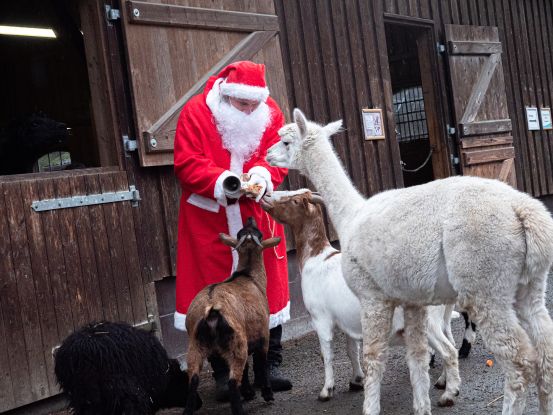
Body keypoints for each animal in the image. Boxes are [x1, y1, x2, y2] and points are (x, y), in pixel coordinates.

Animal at [184, 218, 280, 415]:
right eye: (260, 234)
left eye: (244, 231)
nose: (250, 218)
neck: (249, 276)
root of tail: (211, 310)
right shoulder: (263, 336)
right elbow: (261, 364)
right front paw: (266, 394)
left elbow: (246, 369)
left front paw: (249, 392)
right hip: (236, 342)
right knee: (232, 381)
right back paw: (239, 410)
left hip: (197, 345)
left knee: (193, 381)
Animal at [260, 190, 460, 404]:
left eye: (295, 200)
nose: (266, 196)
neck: (317, 257)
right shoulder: (346, 320)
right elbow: (351, 350)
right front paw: (356, 380)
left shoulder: (320, 318)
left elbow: (326, 354)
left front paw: (326, 390)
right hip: (441, 319)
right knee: (451, 344)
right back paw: (443, 382)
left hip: (428, 323)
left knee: (448, 350)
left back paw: (449, 394)